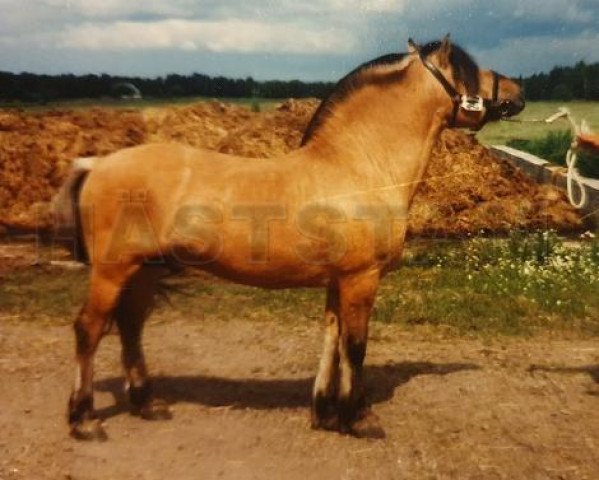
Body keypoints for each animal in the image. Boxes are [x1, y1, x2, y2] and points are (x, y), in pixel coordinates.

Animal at [57, 36, 524, 438]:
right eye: (466, 69)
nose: (517, 91)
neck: (360, 168)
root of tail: (96, 163)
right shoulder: (361, 279)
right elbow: (355, 346)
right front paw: (360, 418)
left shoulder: (338, 281)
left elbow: (331, 340)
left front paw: (326, 414)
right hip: (113, 270)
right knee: (89, 330)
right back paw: (84, 421)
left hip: (145, 270)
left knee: (131, 327)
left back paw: (147, 405)